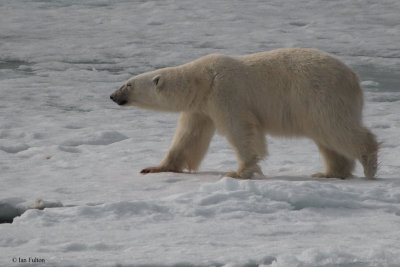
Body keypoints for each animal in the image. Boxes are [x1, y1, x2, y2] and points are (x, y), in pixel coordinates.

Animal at [109, 48, 378, 180]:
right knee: (327, 138)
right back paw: (330, 172)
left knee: (336, 128)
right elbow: (188, 138)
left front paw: (239, 172)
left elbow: (240, 130)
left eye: (128, 84)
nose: (112, 95)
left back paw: (369, 163)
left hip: (320, 94)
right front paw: (155, 167)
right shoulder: (200, 107)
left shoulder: (225, 93)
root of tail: (353, 77)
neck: (201, 79)